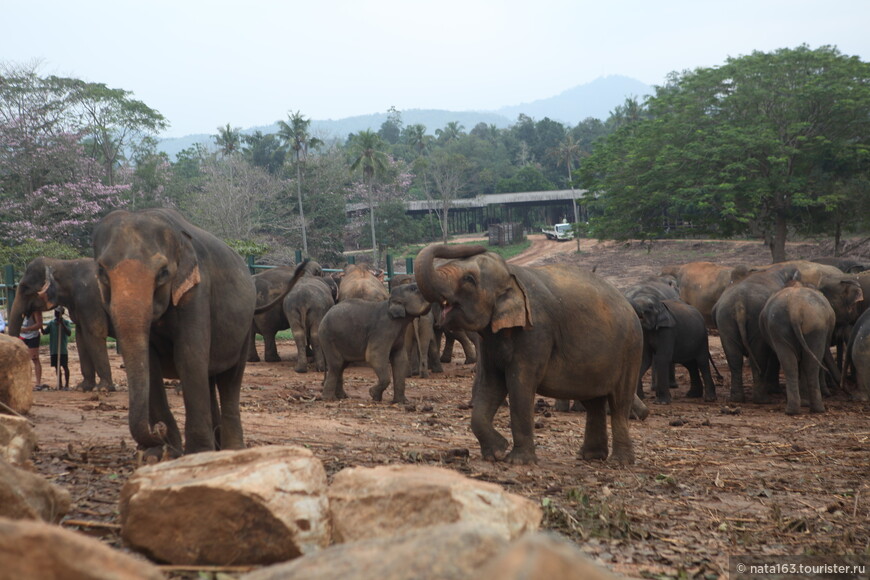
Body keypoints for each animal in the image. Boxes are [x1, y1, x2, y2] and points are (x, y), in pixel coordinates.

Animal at [92, 208, 306, 458]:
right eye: (101, 271)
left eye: (163, 273)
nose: (158, 431)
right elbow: (151, 364)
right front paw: (161, 455)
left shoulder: (197, 292)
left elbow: (190, 358)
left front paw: (196, 453)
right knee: (211, 377)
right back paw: (216, 444)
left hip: (243, 327)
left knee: (230, 380)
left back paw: (232, 449)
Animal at [416, 242, 648, 464]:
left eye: (469, 279)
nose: (480, 245)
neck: (511, 275)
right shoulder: (490, 340)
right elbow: (490, 383)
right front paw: (496, 452)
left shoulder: (536, 332)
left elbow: (520, 386)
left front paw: (518, 461)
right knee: (593, 401)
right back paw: (590, 456)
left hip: (631, 349)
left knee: (619, 403)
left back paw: (619, 462)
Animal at [764, 284, 836, 414]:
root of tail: (795, 308)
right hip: (813, 326)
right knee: (805, 364)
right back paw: (804, 409)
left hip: (798, 325)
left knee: (796, 364)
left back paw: (802, 409)